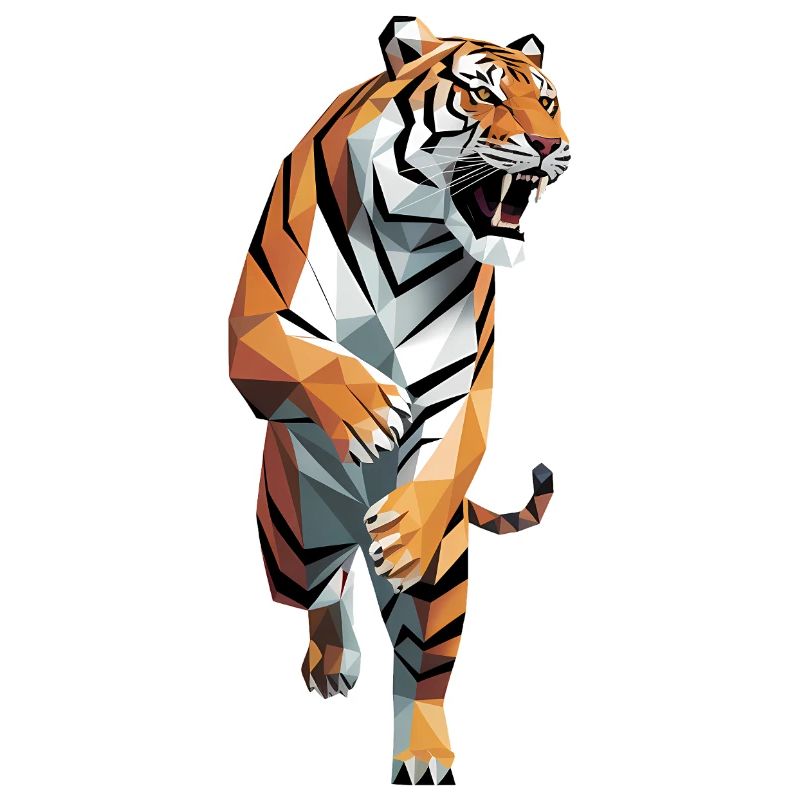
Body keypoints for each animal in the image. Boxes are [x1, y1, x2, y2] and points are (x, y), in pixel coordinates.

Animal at [228, 16, 569, 785]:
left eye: (547, 102)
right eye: (483, 94)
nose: (549, 145)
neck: (414, 237)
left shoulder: (467, 379)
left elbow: (456, 436)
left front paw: (405, 526)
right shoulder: (253, 323)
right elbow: (301, 358)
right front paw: (368, 412)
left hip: (445, 572)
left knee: (423, 670)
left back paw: (424, 757)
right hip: (290, 543)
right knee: (321, 593)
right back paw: (333, 662)